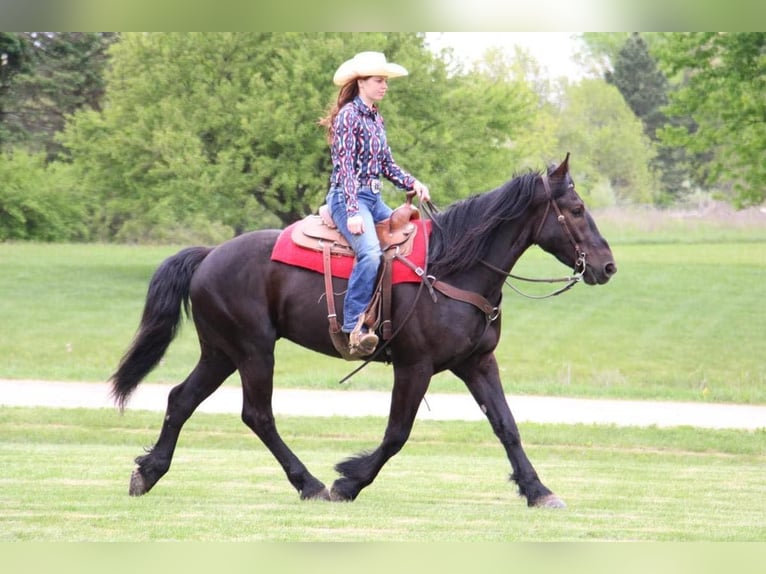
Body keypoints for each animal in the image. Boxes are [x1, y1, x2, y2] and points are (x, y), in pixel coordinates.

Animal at [112, 154, 616, 508]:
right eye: (575, 209)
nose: (608, 266)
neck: (454, 267)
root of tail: (209, 254)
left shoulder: (477, 363)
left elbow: (507, 426)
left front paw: (538, 490)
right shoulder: (415, 367)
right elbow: (397, 433)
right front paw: (349, 481)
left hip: (221, 352)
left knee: (181, 399)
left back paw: (149, 472)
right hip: (253, 350)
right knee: (257, 415)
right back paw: (310, 483)